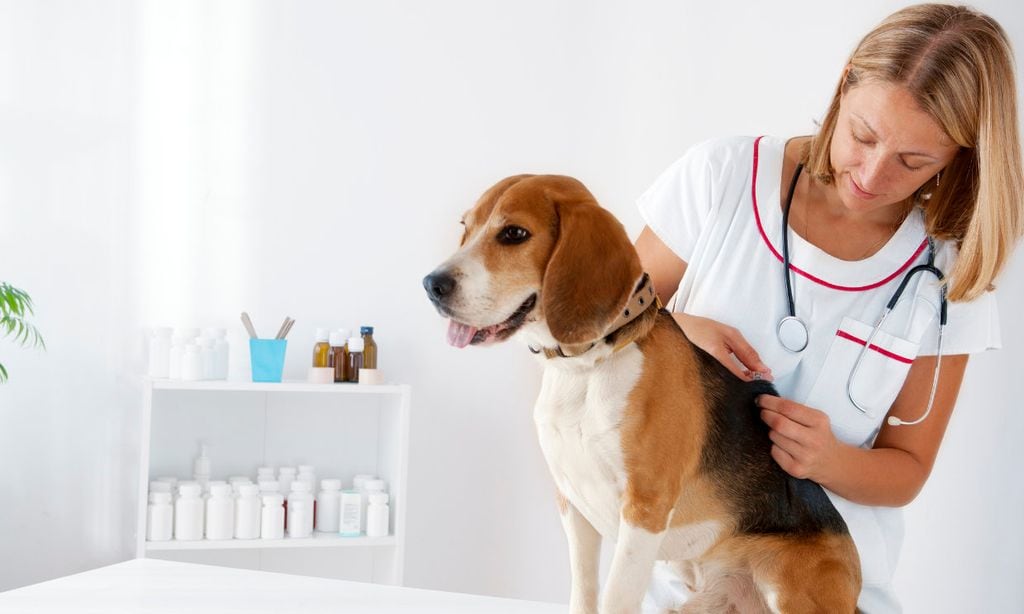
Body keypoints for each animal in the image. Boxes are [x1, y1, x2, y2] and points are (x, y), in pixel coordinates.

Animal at [419, 174, 860, 609]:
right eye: (466, 227)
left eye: (514, 233)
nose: (431, 284)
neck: (585, 368)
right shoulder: (572, 503)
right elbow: (584, 592)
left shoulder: (645, 508)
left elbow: (616, 598)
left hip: (788, 585)